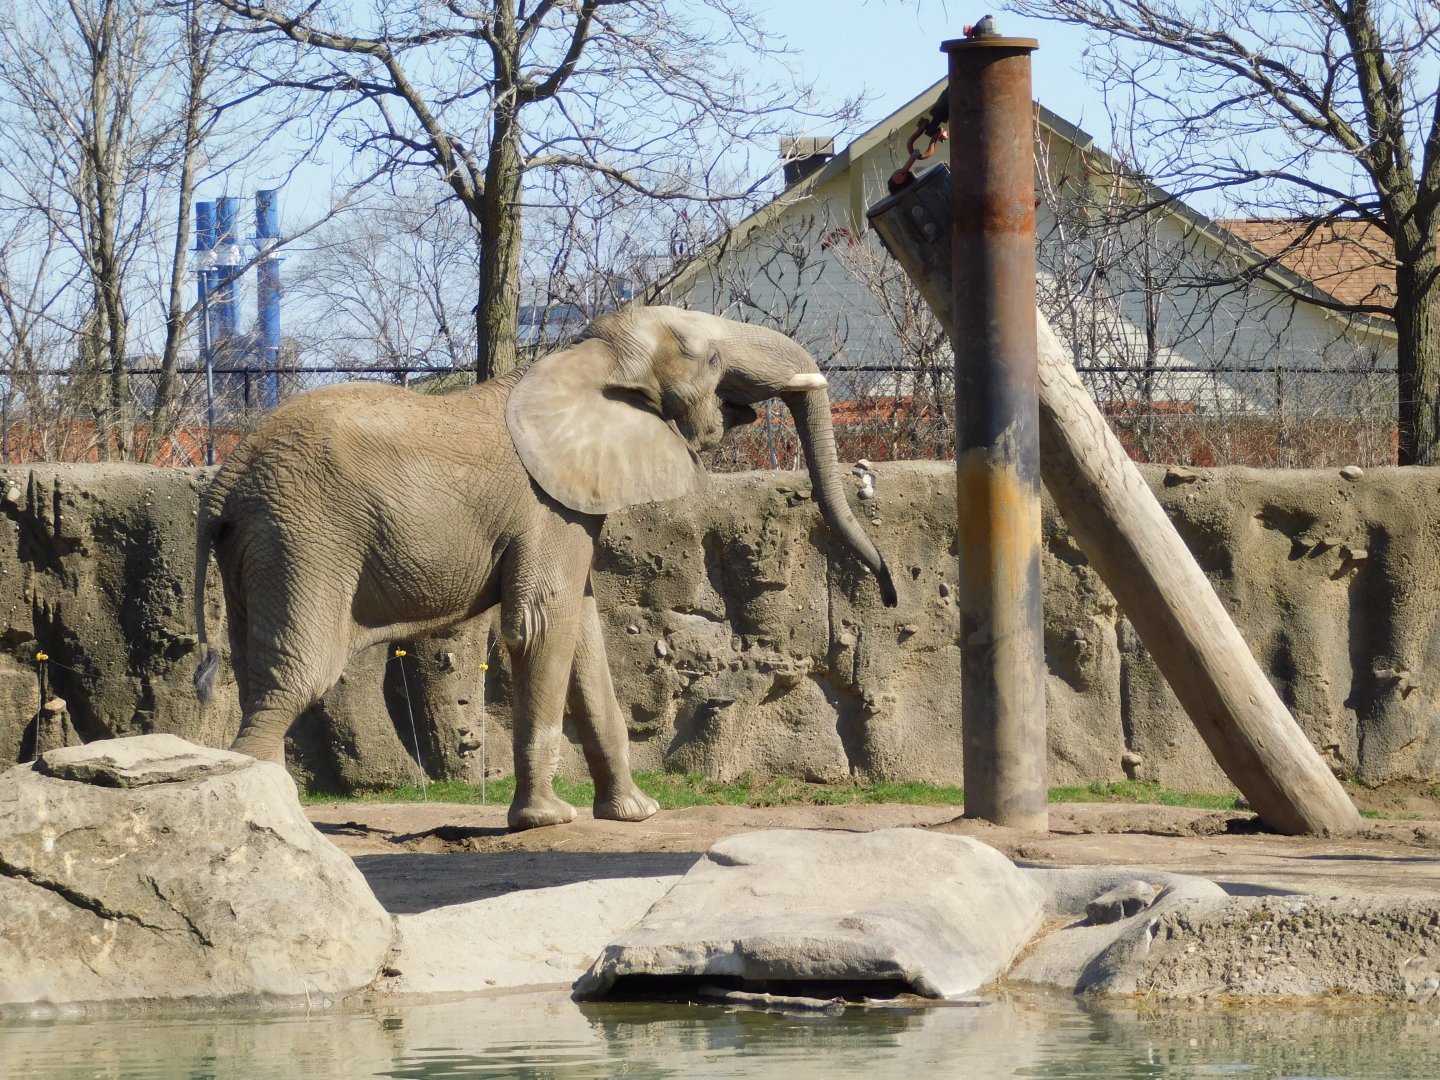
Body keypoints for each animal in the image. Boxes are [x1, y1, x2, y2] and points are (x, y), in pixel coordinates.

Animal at [193, 305, 897, 830]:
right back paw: (276, 827)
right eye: (709, 357)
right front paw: (548, 820)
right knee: (297, 675)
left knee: (253, 671)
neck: (581, 356)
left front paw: (636, 813)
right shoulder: (548, 504)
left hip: (261, 548)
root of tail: (225, 480)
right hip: (306, 536)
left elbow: (581, 630)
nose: (888, 592)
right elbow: (540, 624)